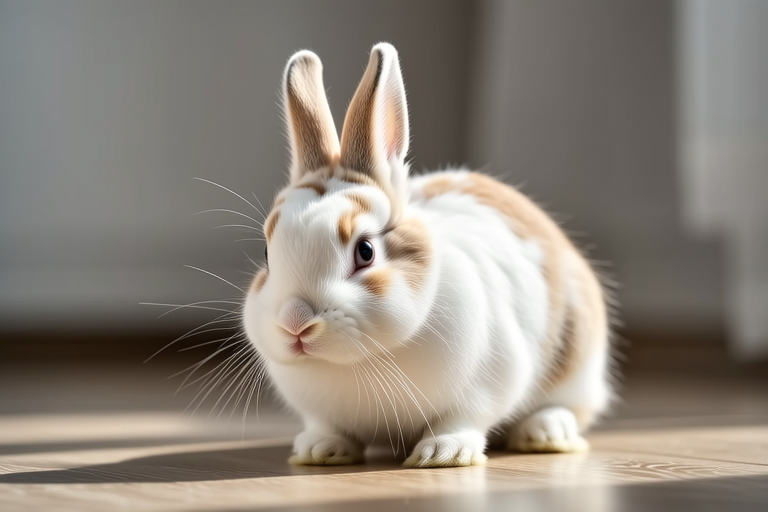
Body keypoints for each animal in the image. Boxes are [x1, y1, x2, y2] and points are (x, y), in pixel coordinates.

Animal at [242, 42, 614, 468]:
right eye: (267, 254)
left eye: (365, 251)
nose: (295, 323)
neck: (361, 362)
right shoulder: (318, 409)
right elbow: (328, 426)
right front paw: (321, 450)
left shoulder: (493, 378)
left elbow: (464, 418)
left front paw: (443, 453)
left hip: (580, 360)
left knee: (569, 406)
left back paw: (545, 432)